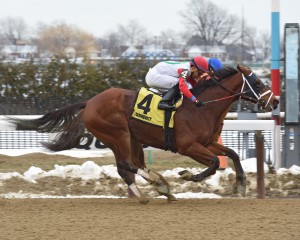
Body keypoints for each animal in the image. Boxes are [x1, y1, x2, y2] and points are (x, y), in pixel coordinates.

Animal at [10, 64, 280, 203]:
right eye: (257, 83)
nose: (275, 101)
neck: (202, 107)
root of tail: (89, 102)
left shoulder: (208, 142)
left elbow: (231, 154)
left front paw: (241, 184)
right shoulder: (188, 146)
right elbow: (214, 163)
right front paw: (188, 175)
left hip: (132, 139)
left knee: (128, 167)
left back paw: (154, 188)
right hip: (117, 135)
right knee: (125, 165)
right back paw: (157, 184)